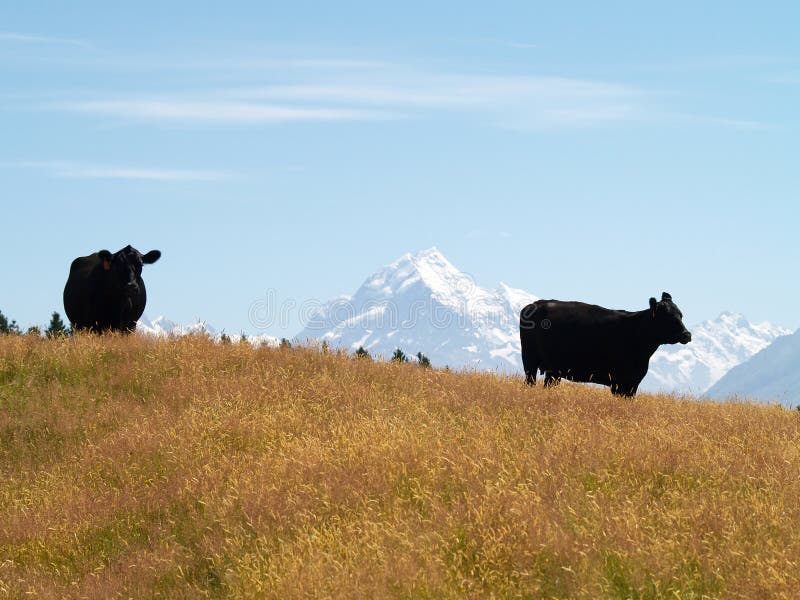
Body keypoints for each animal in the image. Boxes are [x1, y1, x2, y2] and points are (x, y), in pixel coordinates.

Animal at [520, 292, 692, 396]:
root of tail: (535, 304)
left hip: (553, 370)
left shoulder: (633, 382)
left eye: (681, 315)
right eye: (668, 317)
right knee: (530, 382)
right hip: (530, 361)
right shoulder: (620, 383)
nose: (687, 335)